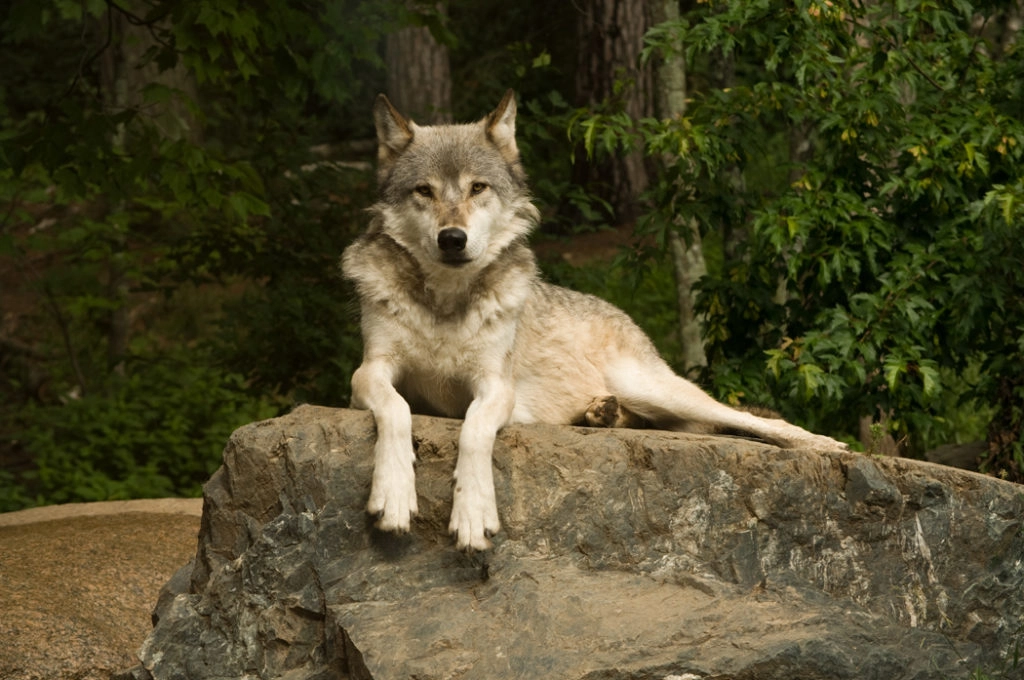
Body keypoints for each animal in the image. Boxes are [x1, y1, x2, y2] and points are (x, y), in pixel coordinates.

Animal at [341, 90, 846, 551]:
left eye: (477, 188)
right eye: (424, 191)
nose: (452, 238)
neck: (446, 305)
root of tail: (621, 314)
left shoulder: (495, 387)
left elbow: (474, 429)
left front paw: (473, 512)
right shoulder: (369, 373)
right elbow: (397, 409)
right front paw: (394, 494)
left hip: (654, 387)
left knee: (749, 420)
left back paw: (825, 445)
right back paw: (603, 414)